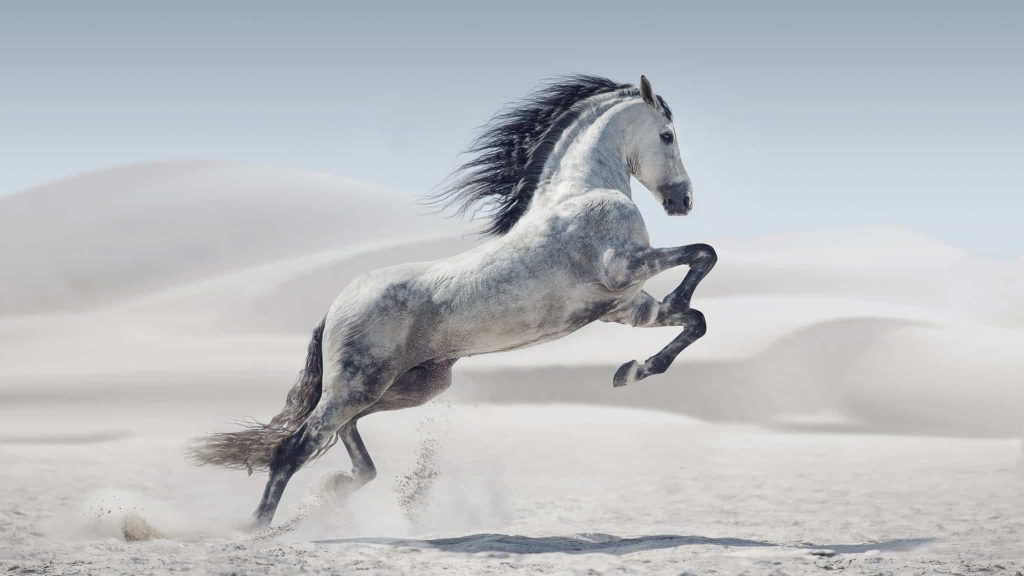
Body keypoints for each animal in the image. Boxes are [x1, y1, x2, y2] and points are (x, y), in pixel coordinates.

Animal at [191, 74, 717, 529]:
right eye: (667, 135)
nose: (684, 201)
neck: (581, 192)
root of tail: (336, 306)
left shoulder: (626, 308)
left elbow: (695, 320)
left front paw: (631, 371)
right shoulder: (622, 268)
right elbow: (703, 254)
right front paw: (646, 348)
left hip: (408, 387)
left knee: (343, 436)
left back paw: (336, 488)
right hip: (360, 384)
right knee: (296, 446)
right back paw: (257, 528)